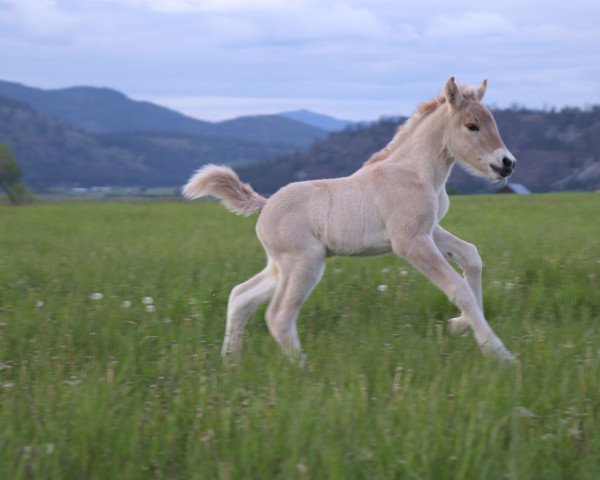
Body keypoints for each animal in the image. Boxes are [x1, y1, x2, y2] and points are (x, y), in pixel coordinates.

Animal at [182, 77, 516, 360]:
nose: (507, 163)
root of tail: (264, 205)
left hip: (280, 265)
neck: (415, 172)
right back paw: (304, 370)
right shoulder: (409, 241)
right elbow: (458, 288)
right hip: (304, 261)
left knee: (241, 296)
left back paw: (230, 361)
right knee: (277, 316)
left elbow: (471, 256)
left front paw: (458, 325)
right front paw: (498, 352)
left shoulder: (429, 229)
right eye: (471, 126)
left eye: (493, 122)